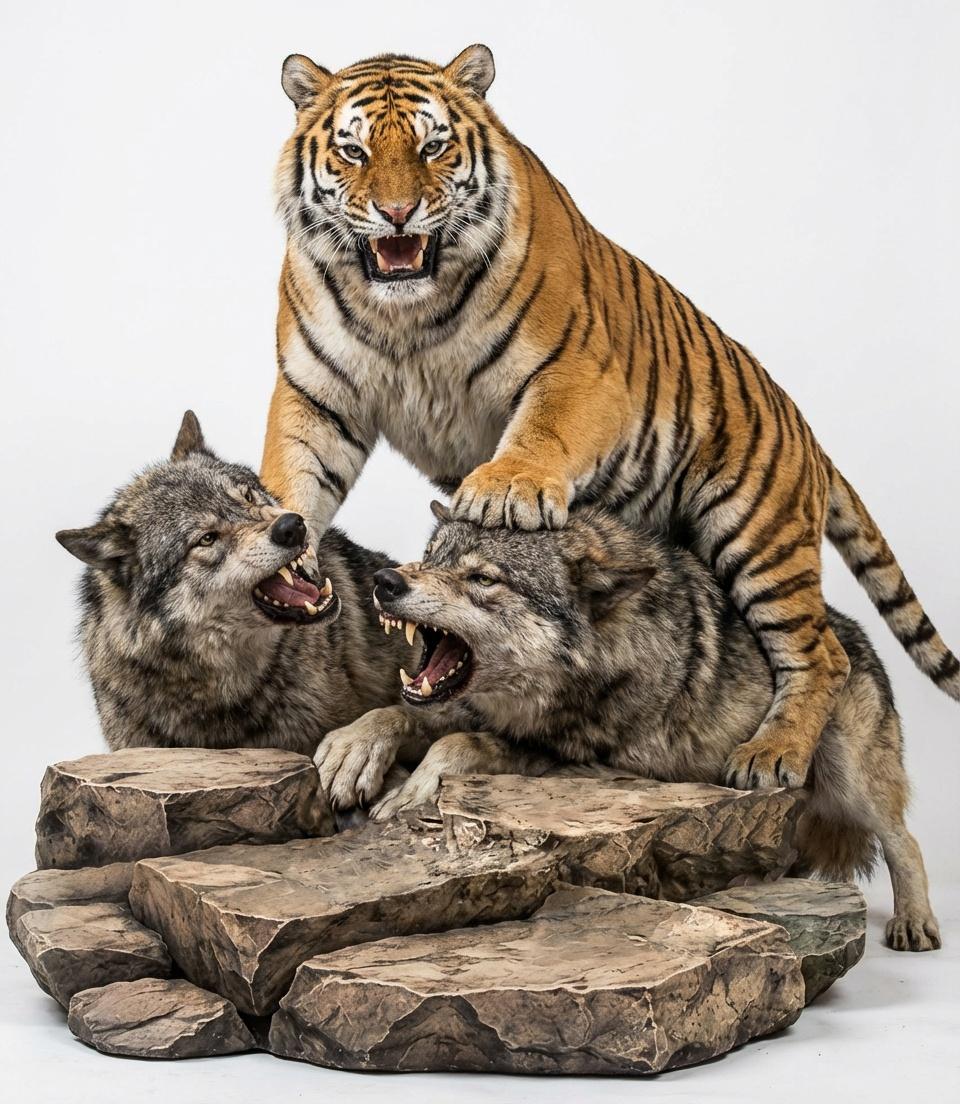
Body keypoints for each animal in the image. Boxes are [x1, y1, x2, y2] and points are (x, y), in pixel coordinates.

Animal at [260, 44, 959, 791]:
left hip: (759, 535)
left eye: (433, 147)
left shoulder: (578, 367)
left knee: (822, 651)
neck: (406, 315)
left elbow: (541, 429)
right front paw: (280, 563)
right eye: (354, 151)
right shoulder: (314, 392)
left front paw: (505, 489)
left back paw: (772, 755)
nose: (397, 212)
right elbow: (293, 475)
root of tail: (811, 436)